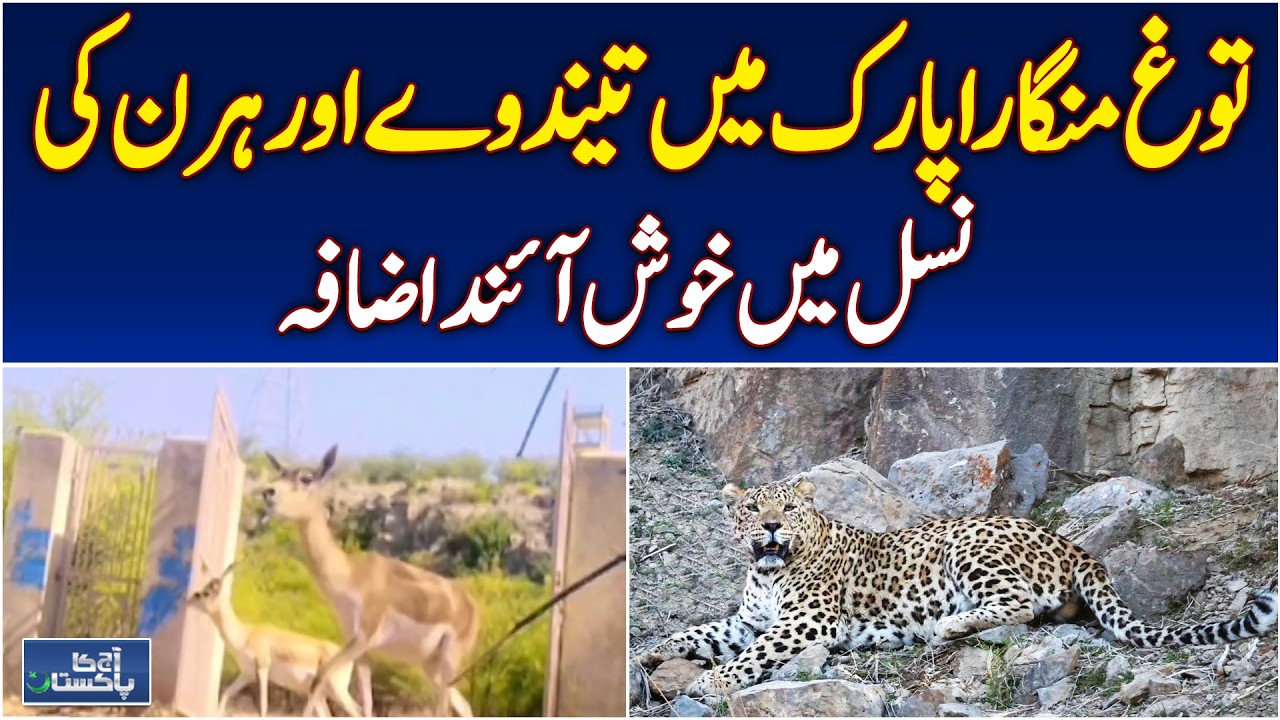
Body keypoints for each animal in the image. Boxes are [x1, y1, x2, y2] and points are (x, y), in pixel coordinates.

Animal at [185, 560, 362, 717]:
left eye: (206, 593)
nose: (188, 600)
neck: (246, 635)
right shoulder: (246, 674)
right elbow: (226, 694)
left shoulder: (262, 669)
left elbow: (263, 707)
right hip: (319, 695)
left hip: (337, 691)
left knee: (358, 711)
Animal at [261, 446, 481, 717]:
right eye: (281, 472)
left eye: (306, 478)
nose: (268, 492)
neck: (351, 574)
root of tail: (473, 607)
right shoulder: (361, 650)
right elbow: (367, 704)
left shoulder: (362, 638)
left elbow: (319, 678)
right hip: (431, 665)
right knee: (463, 704)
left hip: (449, 662)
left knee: (443, 709)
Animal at [636, 479, 1279, 698]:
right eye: (752, 508)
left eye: (788, 508)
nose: (770, 526)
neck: (768, 570)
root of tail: (1072, 544)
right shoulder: (749, 619)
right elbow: (699, 631)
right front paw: (649, 654)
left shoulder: (805, 622)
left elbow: (751, 656)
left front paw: (714, 683)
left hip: (968, 546)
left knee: (1019, 604)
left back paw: (946, 624)